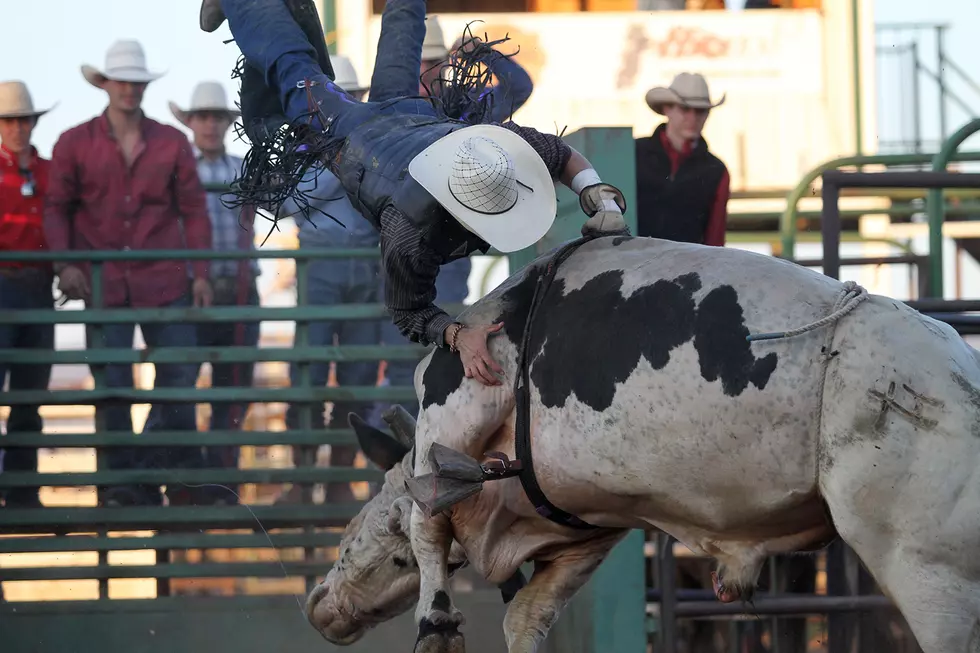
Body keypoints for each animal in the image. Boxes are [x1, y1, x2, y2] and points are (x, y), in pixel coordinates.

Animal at [306, 237, 980, 652]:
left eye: (384, 541)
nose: (321, 606)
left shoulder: (454, 406)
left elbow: (429, 523)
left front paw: (436, 622)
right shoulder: (584, 527)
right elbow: (526, 613)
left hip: (929, 572)